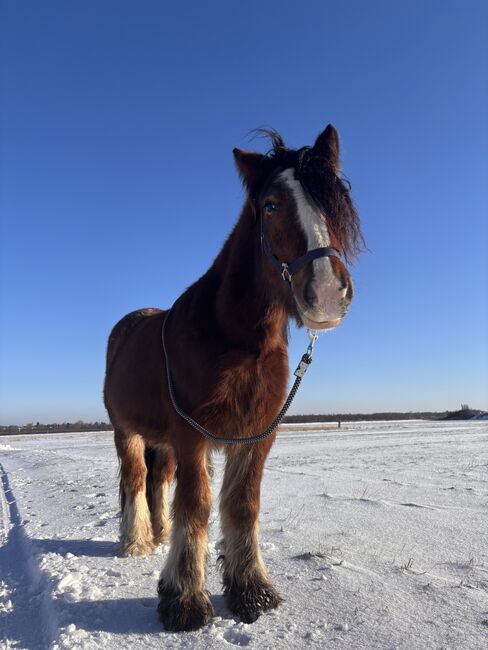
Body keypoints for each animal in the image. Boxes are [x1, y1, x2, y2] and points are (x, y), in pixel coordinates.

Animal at [103, 124, 363, 632]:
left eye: (336, 200)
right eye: (271, 204)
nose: (327, 293)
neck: (234, 338)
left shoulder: (257, 435)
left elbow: (242, 506)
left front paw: (251, 592)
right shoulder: (192, 435)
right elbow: (197, 504)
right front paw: (184, 600)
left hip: (163, 439)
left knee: (158, 481)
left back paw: (159, 535)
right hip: (127, 432)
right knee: (137, 479)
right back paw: (137, 541)